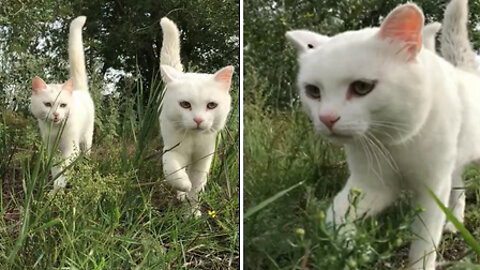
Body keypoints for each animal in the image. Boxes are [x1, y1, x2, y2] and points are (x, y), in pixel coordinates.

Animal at [30, 16, 94, 190]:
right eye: (47, 104)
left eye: (63, 105)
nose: (56, 115)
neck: (56, 130)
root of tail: (79, 90)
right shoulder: (51, 148)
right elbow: (55, 169)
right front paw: (54, 186)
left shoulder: (70, 149)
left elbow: (64, 169)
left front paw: (58, 187)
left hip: (87, 138)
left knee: (86, 153)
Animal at [158, 16, 233, 216]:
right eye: (185, 104)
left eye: (211, 105)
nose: (198, 120)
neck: (193, 138)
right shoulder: (172, 150)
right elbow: (173, 171)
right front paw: (184, 186)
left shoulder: (204, 157)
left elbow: (197, 186)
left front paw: (192, 213)